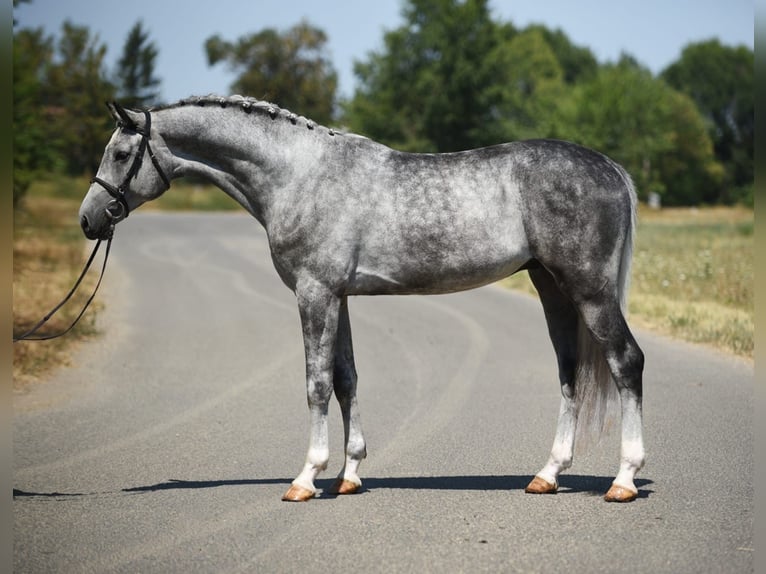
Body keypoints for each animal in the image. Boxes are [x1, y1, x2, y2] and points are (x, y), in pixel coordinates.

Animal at [78, 98, 644, 504]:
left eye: (122, 154)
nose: (88, 219)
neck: (298, 174)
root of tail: (611, 168)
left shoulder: (315, 293)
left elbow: (316, 383)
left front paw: (306, 478)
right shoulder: (339, 296)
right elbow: (346, 379)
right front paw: (349, 475)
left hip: (588, 290)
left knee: (625, 361)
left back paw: (624, 480)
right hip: (552, 289)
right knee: (570, 370)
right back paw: (547, 475)